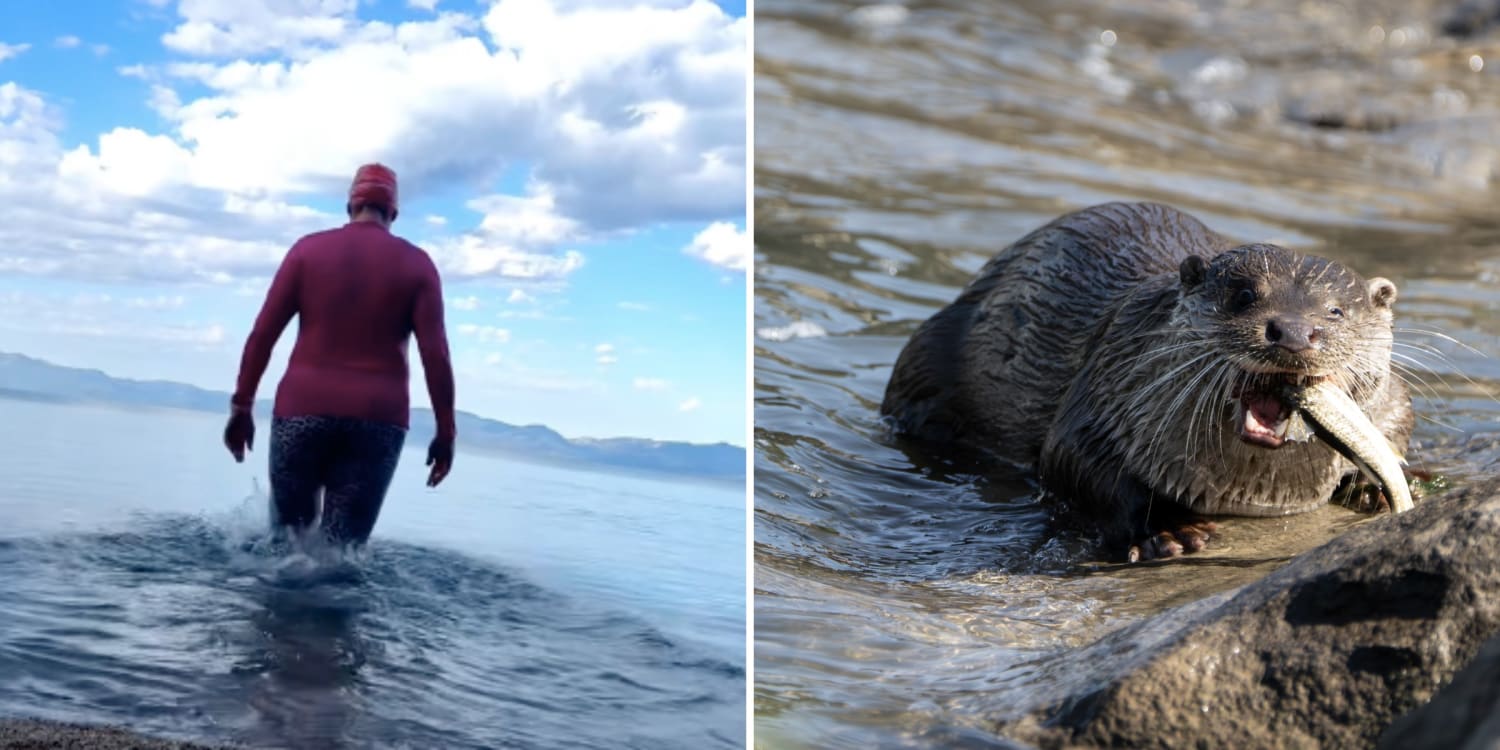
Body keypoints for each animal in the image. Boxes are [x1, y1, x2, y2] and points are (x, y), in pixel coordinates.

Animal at [881, 202, 1413, 561]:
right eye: (1244, 295)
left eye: (1335, 311)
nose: (1294, 332)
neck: (1258, 489)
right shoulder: (1106, 387)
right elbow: (1072, 460)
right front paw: (1168, 531)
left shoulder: (1392, 399)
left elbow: (1399, 421)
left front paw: (1376, 487)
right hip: (924, 361)